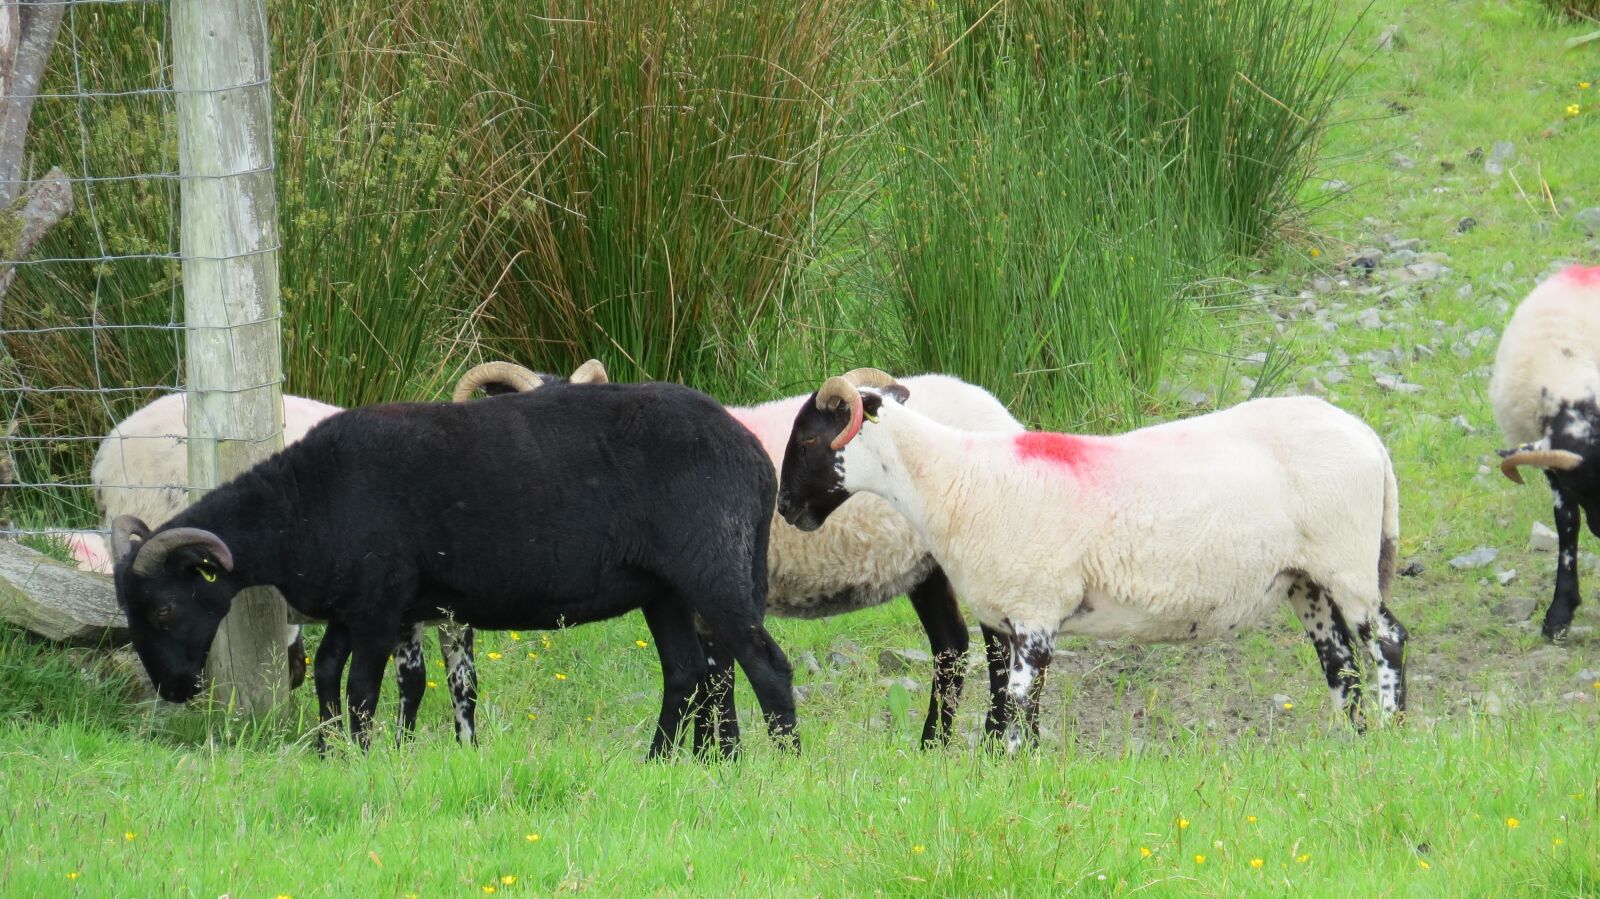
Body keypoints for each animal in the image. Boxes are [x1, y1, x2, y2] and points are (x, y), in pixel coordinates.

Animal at [109, 378, 796, 757]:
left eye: (165, 608)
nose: (175, 689)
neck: (303, 504)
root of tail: (756, 457)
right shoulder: (354, 605)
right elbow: (329, 675)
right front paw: (333, 754)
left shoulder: (380, 604)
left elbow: (361, 688)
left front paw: (367, 758)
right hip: (665, 589)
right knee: (687, 673)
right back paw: (655, 763)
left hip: (714, 569)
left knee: (766, 666)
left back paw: (784, 765)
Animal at [448, 362, 1025, 751]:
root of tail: (1004, 414)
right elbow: (709, 675)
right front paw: (713, 755)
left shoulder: (713, 584)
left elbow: (717, 676)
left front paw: (720, 755)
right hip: (927, 565)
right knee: (951, 646)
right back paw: (934, 746)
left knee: (998, 648)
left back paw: (996, 744)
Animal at [776, 370, 1409, 749]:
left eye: (807, 437)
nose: (784, 507)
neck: (951, 479)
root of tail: (1370, 440)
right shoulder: (1007, 616)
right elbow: (1018, 707)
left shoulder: (1035, 612)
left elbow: (1018, 705)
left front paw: (1010, 767)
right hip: (1306, 578)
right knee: (1338, 659)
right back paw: (1351, 741)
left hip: (1348, 562)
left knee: (1387, 639)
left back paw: (1393, 732)